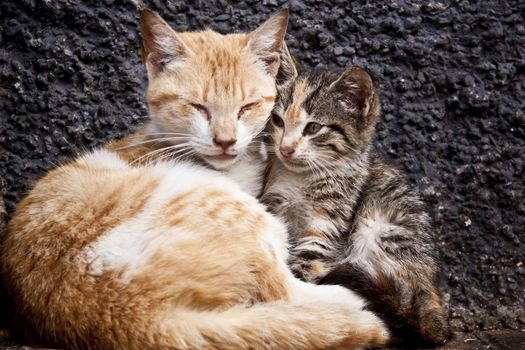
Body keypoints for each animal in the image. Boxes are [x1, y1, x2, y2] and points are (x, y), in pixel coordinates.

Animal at [0, 8, 388, 350]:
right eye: (197, 107)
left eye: (247, 107)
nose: (225, 140)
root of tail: (137, 320)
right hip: (237, 211)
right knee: (284, 290)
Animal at [264, 63, 448, 344]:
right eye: (278, 121)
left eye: (313, 128)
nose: (285, 149)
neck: (302, 178)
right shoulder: (275, 205)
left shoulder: (329, 226)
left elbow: (303, 266)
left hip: (382, 228)